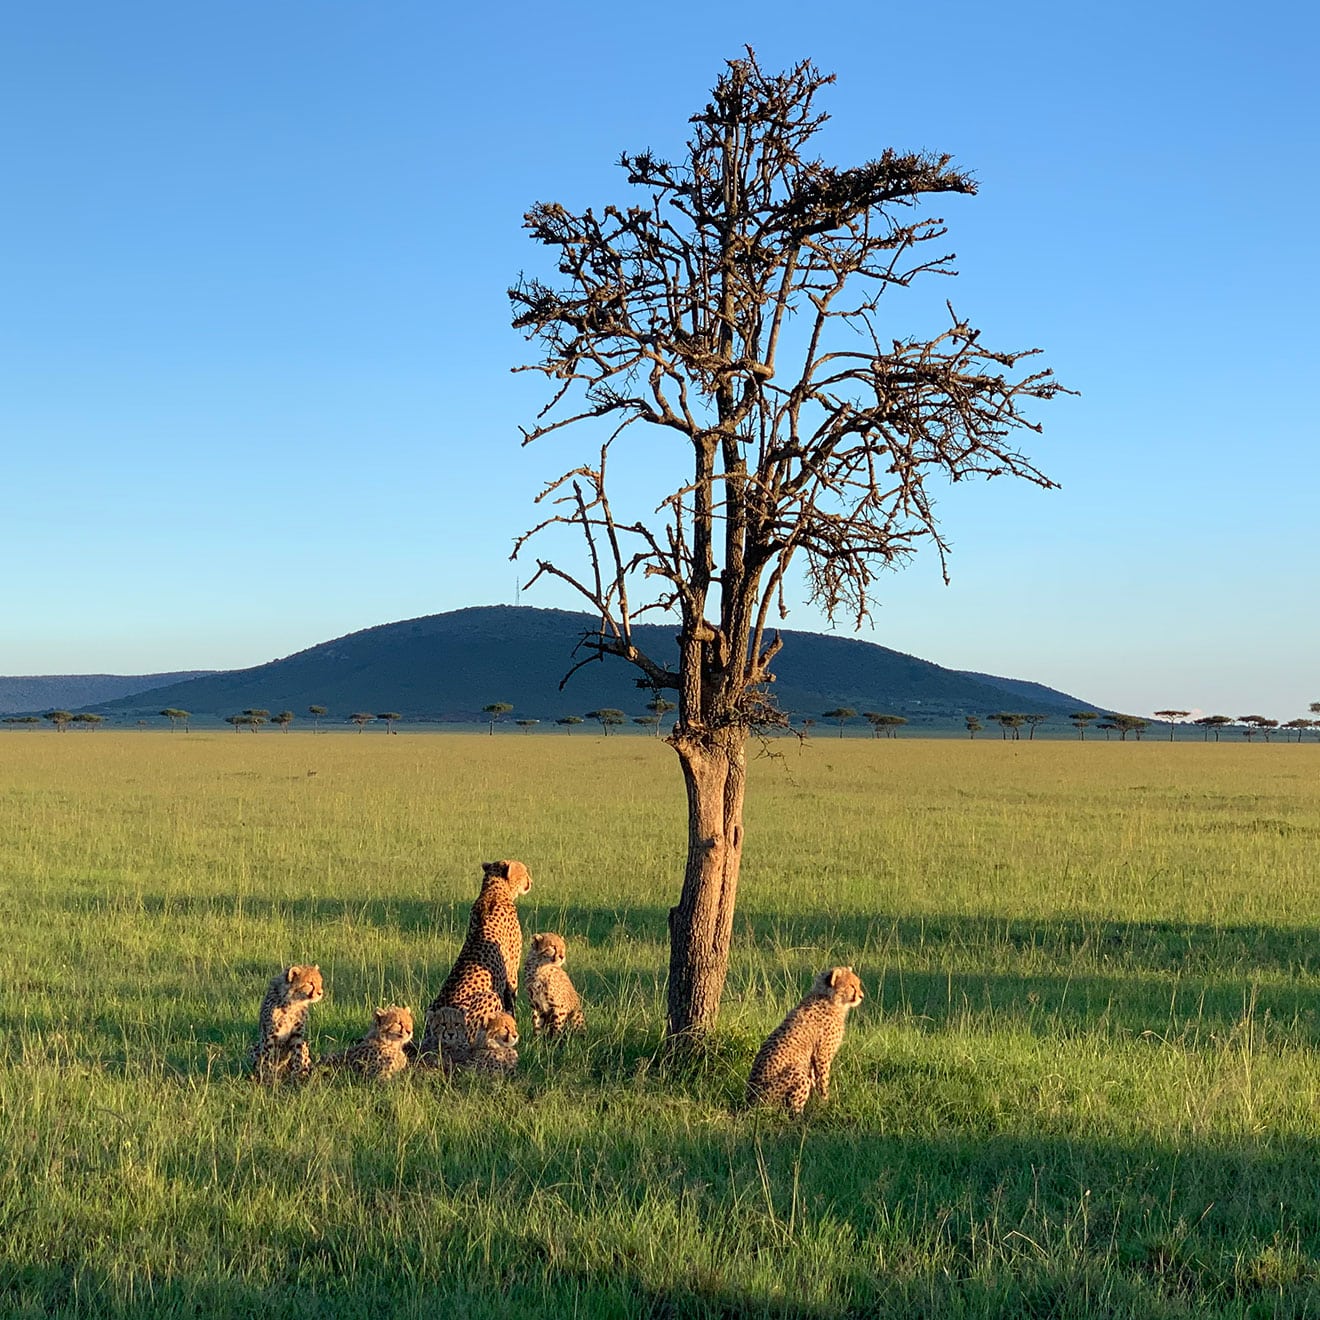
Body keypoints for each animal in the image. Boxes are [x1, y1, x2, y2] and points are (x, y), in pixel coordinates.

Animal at [417, 860, 530, 1056]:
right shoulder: (511, 975)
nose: (530, 881)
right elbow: (511, 1006)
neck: (493, 890)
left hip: (432, 1007)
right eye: (524, 871)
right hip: (491, 996)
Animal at [744, 971, 865, 1114]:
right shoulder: (822, 1055)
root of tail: (749, 1101)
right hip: (794, 1075)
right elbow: (823, 1081)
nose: (861, 996)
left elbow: (816, 1079)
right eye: (852, 986)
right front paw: (825, 1103)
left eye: (858, 984)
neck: (827, 997)